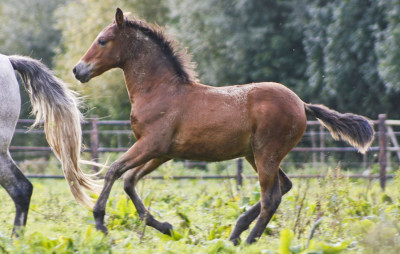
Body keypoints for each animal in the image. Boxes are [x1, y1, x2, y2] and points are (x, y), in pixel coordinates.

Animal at [72, 8, 376, 244]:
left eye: (102, 41)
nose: (78, 70)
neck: (159, 90)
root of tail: (301, 104)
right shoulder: (162, 152)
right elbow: (129, 181)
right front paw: (166, 227)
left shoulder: (151, 145)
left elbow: (113, 170)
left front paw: (100, 222)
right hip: (255, 154)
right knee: (284, 186)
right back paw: (236, 232)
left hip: (266, 153)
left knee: (272, 198)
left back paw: (247, 239)